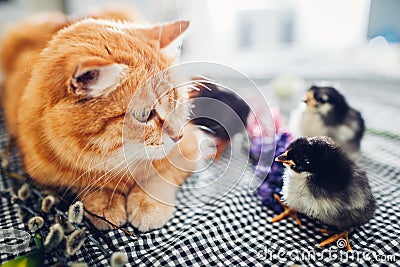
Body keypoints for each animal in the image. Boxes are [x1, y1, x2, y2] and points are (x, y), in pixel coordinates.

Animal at [0, 11, 200, 231]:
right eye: (144, 115)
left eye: (176, 100)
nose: (178, 135)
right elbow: (87, 183)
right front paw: (105, 202)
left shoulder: (191, 147)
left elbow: (161, 176)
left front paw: (149, 205)